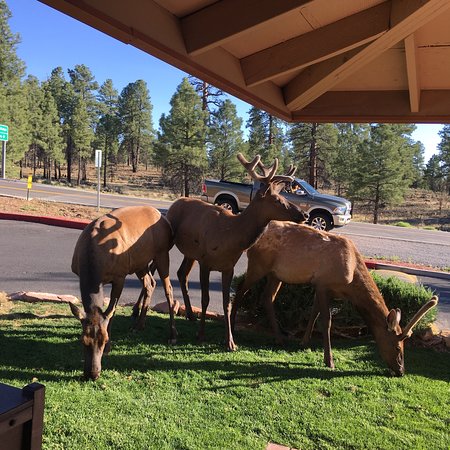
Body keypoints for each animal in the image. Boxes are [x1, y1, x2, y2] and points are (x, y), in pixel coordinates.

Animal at [70, 205, 177, 380]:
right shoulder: (79, 274)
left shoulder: (119, 276)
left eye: (104, 340)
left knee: (168, 289)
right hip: (140, 262)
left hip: (162, 253)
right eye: (83, 340)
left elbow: (112, 312)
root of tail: (164, 218)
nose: (93, 374)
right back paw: (139, 325)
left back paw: (172, 335)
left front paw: (109, 348)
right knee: (150, 283)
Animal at [165, 153, 308, 352]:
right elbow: (205, 299)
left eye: (283, 196)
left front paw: (230, 342)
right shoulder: (205, 262)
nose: (305, 215)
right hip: (173, 242)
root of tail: (176, 202)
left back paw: (191, 315)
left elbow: (227, 303)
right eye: (278, 200)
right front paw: (201, 335)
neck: (230, 237)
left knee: (181, 274)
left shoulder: (228, 267)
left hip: (191, 253)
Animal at [231, 221, 438, 376]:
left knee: (267, 298)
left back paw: (279, 339)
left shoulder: (320, 286)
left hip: (276, 274)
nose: (401, 371)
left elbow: (313, 313)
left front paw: (304, 342)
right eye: (397, 347)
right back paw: (233, 332)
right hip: (258, 264)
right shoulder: (324, 284)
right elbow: (326, 321)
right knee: (240, 290)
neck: (352, 280)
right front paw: (329, 360)